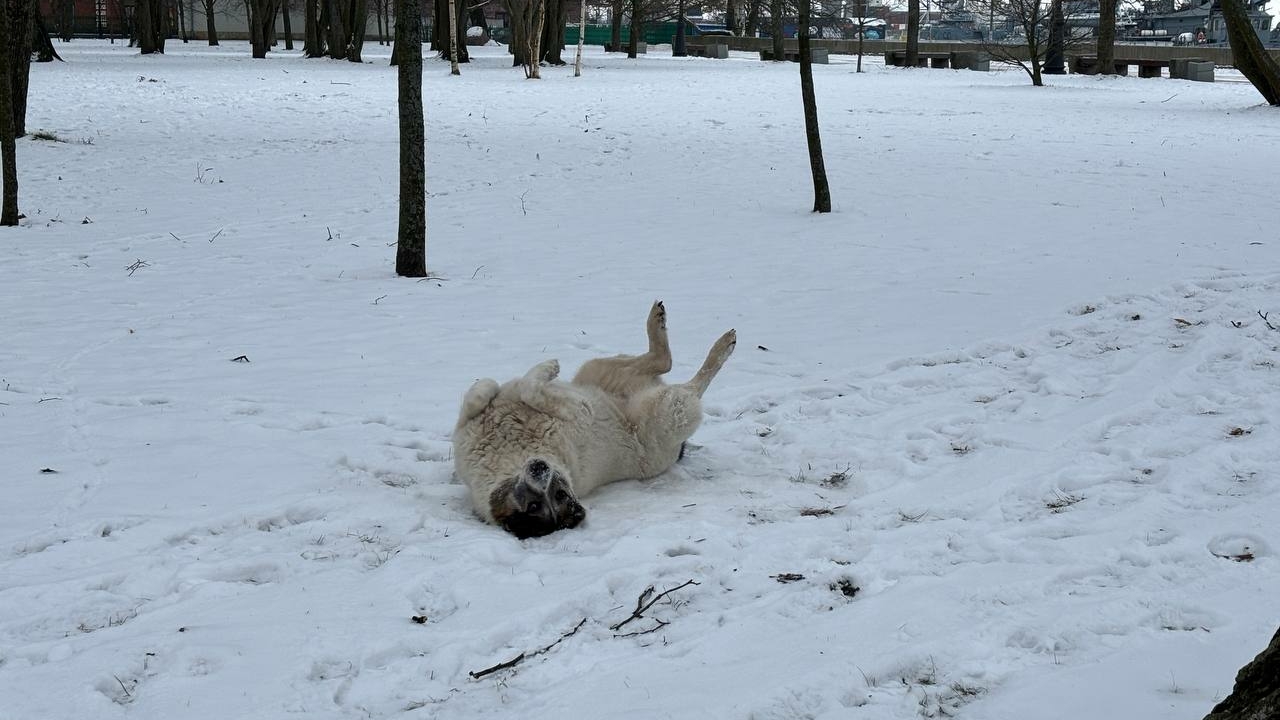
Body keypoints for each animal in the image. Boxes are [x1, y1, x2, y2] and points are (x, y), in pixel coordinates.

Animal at [453, 299, 737, 535]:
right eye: (536, 506)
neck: (512, 454)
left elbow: (486, 390)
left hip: (597, 371)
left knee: (660, 361)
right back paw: (722, 346)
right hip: (668, 409)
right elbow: (529, 391)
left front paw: (545, 370)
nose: (540, 467)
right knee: (690, 383)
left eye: (558, 494)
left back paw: (660, 321)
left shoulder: (466, 425)